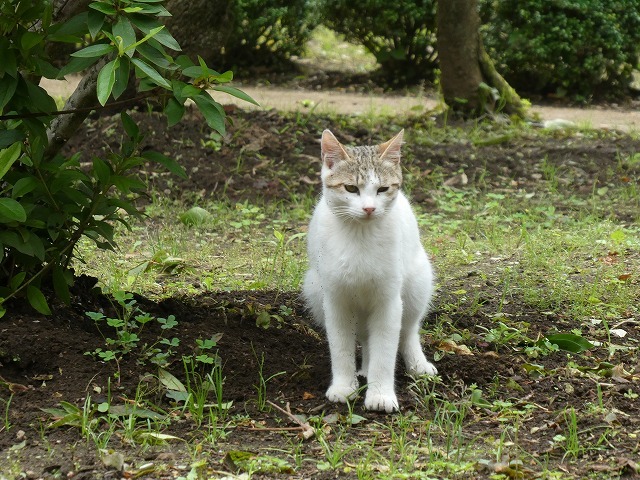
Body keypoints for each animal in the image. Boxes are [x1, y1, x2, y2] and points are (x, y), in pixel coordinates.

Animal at [302, 128, 438, 412]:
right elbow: (341, 347)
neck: (360, 235)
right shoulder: (336, 301)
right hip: (313, 288)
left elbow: (385, 351)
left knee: (408, 330)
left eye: (382, 189)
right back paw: (363, 368)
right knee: (365, 337)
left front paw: (381, 394)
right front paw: (344, 387)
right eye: (351, 188)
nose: (368, 208)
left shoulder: (389, 302)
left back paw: (417, 364)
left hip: (418, 282)